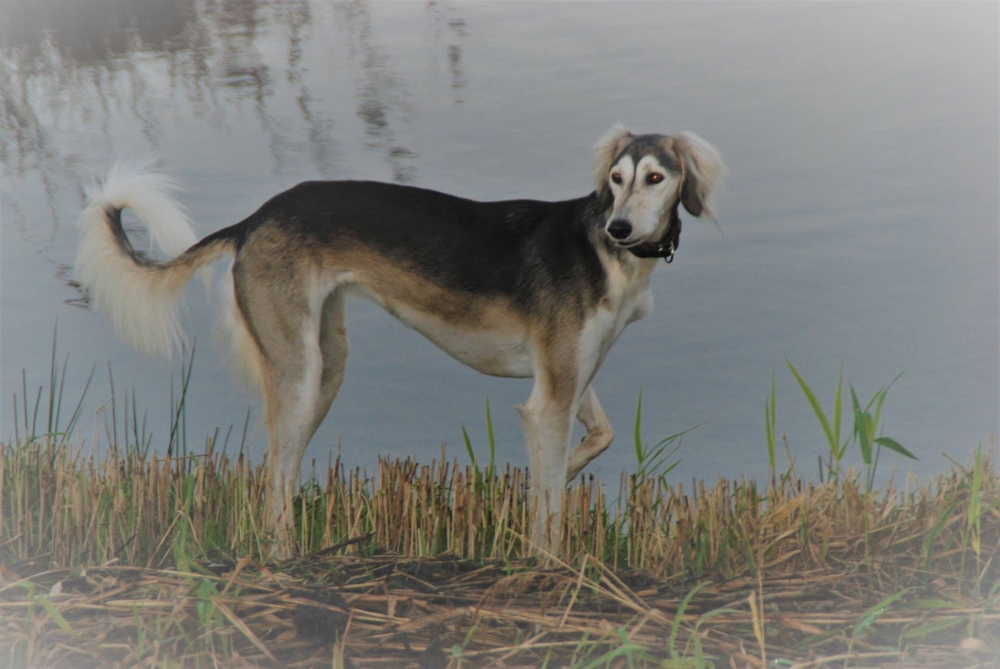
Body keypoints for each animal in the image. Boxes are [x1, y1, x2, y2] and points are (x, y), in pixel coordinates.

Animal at [74, 122, 724, 556]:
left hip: (327, 367)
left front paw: (531, 495)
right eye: (617, 179)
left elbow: (591, 446)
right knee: (274, 477)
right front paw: (545, 561)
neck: (606, 255)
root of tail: (254, 219)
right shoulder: (551, 401)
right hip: (299, 374)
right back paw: (283, 556)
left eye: (656, 178)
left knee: (281, 468)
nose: (620, 227)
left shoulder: (565, 381)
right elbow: (551, 507)